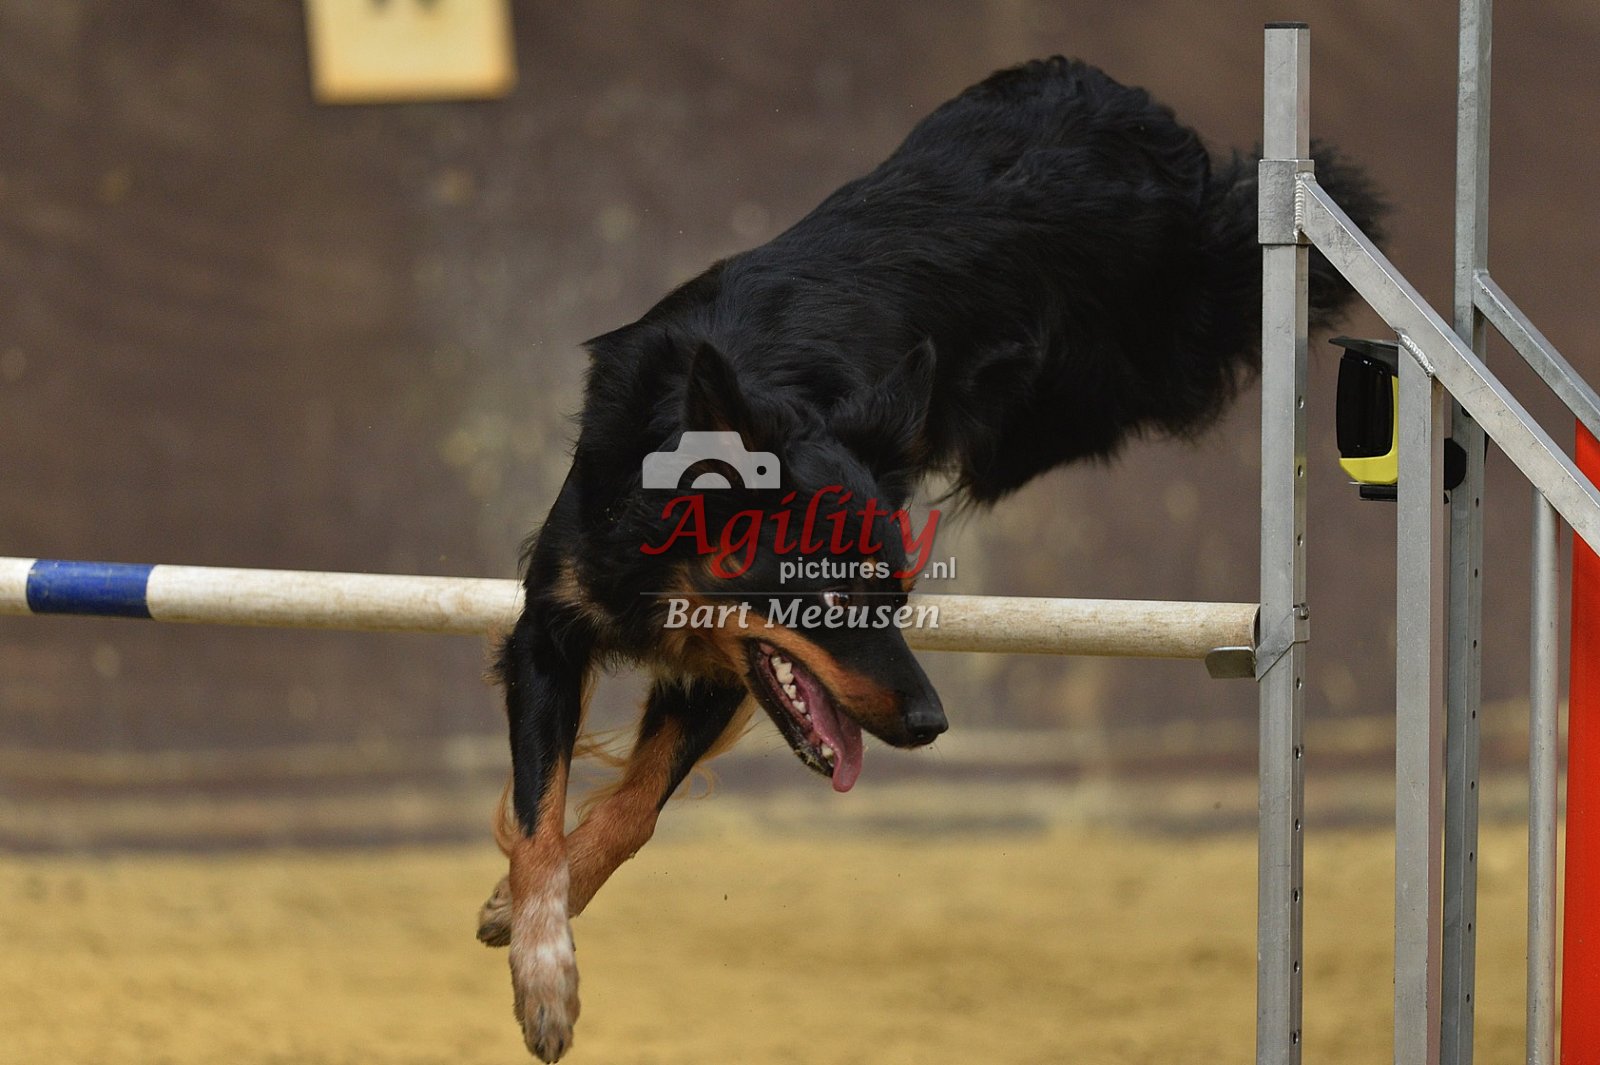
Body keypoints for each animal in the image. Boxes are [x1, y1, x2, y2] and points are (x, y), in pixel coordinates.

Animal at [476, 56, 1383, 1060]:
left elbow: (633, 807)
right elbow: (543, 809)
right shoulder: (560, 628)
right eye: (831, 602)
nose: (931, 723)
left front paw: (527, 921)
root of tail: (1122, 100)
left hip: (1112, 373)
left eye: (899, 601)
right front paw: (540, 956)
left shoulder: (719, 666)